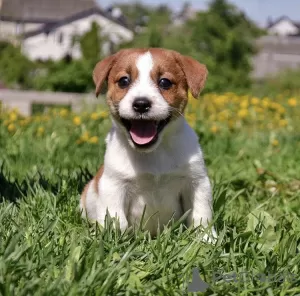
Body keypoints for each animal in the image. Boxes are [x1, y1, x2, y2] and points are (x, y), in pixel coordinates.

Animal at [79, 47, 216, 239]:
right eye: (124, 81)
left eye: (165, 82)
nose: (141, 104)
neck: (153, 152)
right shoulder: (114, 185)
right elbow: (117, 220)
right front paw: (115, 240)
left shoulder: (196, 182)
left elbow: (201, 216)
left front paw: (206, 239)